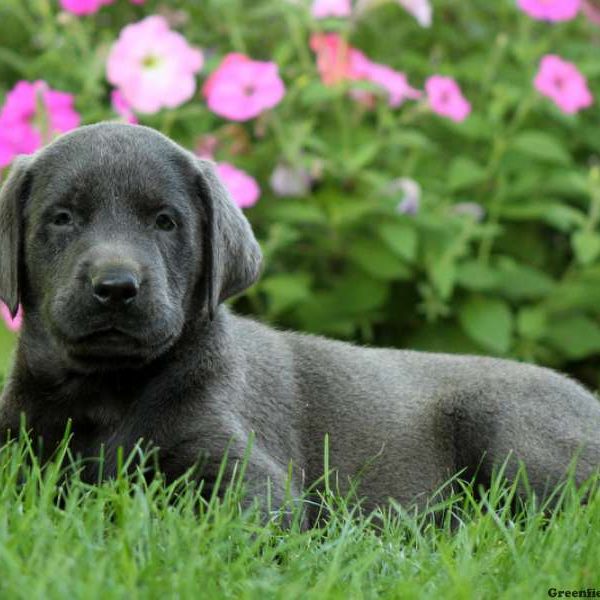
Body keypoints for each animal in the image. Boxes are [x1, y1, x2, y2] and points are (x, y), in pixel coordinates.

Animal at [1, 123, 600, 524]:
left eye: (166, 222)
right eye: (62, 217)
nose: (116, 287)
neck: (108, 392)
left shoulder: (251, 481)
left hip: (508, 427)